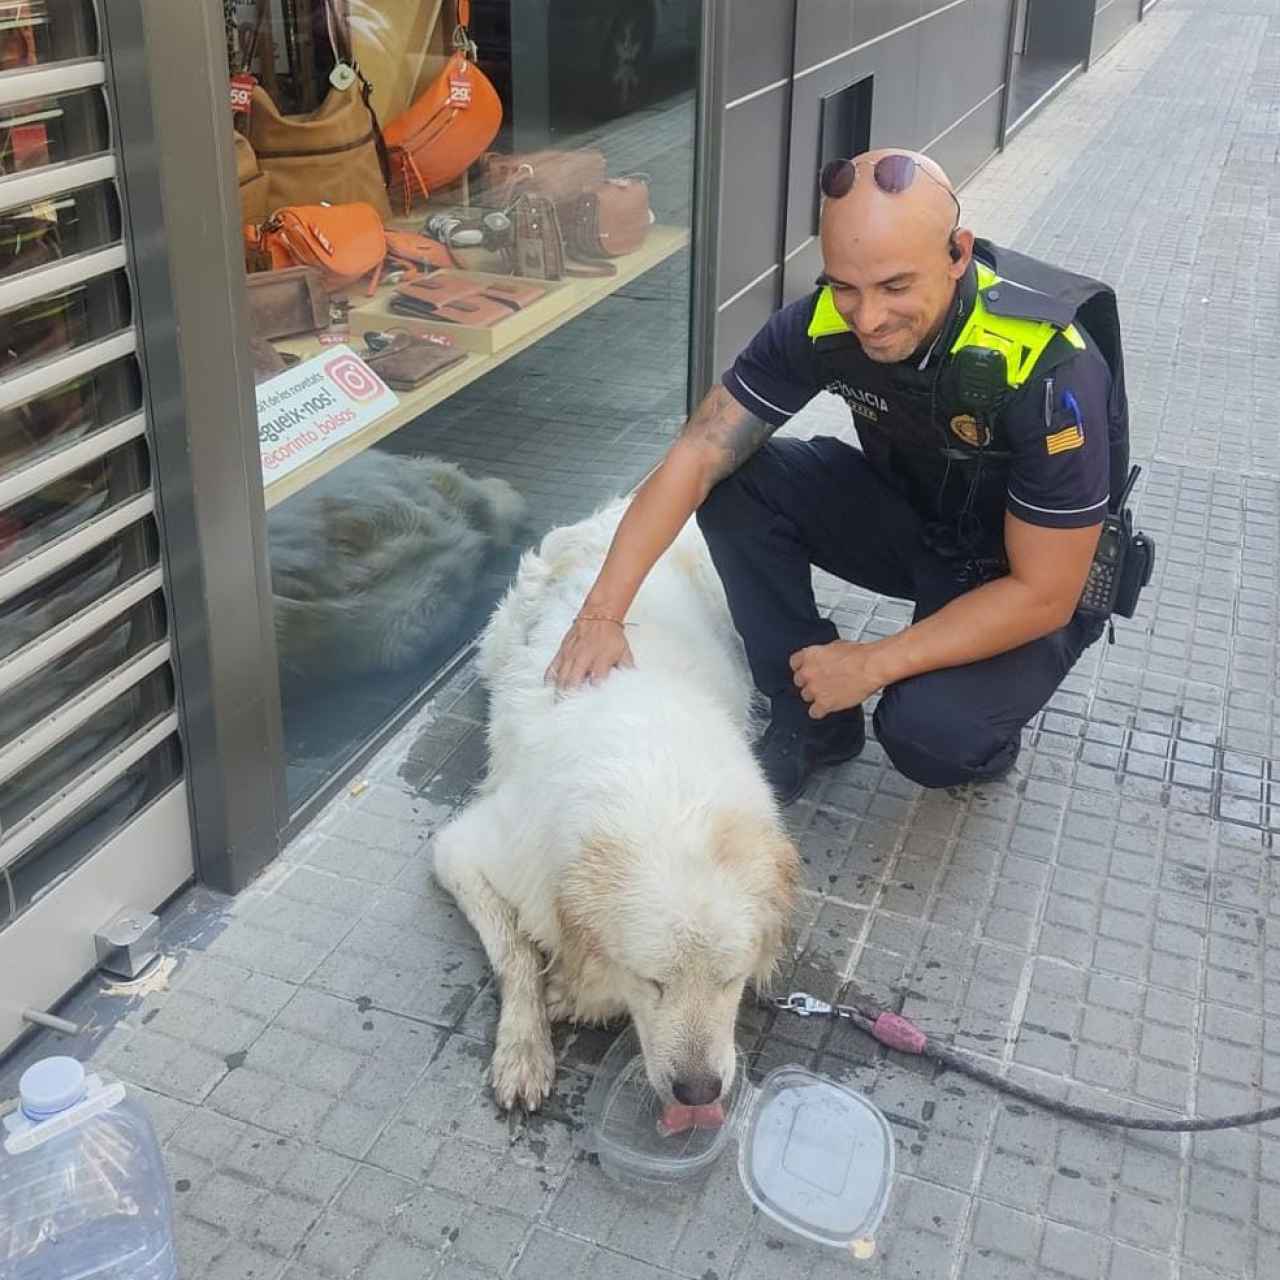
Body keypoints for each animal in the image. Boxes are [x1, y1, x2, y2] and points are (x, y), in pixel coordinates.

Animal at [435, 499, 793, 1111]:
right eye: (653, 981)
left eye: (730, 979)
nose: (698, 1093)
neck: (662, 778)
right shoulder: (467, 848)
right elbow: (516, 953)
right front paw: (525, 1046)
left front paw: (573, 995)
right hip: (502, 638)